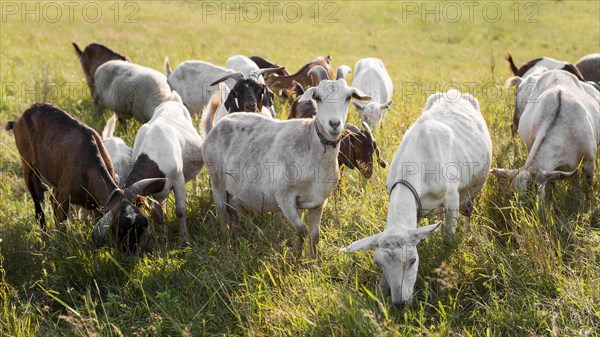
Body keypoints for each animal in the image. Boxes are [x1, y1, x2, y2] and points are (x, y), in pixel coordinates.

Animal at [5, 102, 165, 252]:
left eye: (141, 228)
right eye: (119, 228)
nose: (130, 254)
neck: (89, 165)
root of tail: (20, 119)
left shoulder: (94, 205)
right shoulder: (63, 198)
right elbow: (61, 225)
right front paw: (61, 246)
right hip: (29, 170)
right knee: (39, 210)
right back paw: (45, 239)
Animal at [123, 100, 204, 242]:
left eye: (135, 222)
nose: (125, 246)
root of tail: (171, 101)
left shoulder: (178, 179)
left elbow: (180, 211)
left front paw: (184, 239)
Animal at [203, 79, 370, 258]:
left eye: (348, 97)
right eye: (318, 98)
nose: (334, 124)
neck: (311, 144)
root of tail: (217, 126)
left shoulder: (318, 202)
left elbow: (315, 235)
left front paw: (314, 261)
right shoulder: (284, 197)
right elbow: (302, 230)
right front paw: (295, 256)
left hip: (234, 194)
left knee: (233, 215)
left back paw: (235, 242)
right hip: (216, 179)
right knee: (222, 216)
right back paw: (226, 245)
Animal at [342, 89, 492, 310]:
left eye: (413, 260)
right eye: (378, 263)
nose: (399, 304)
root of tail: (452, 91)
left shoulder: (452, 199)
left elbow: (448, 238)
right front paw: (381, 292)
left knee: (467, 210)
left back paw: (468, 232)